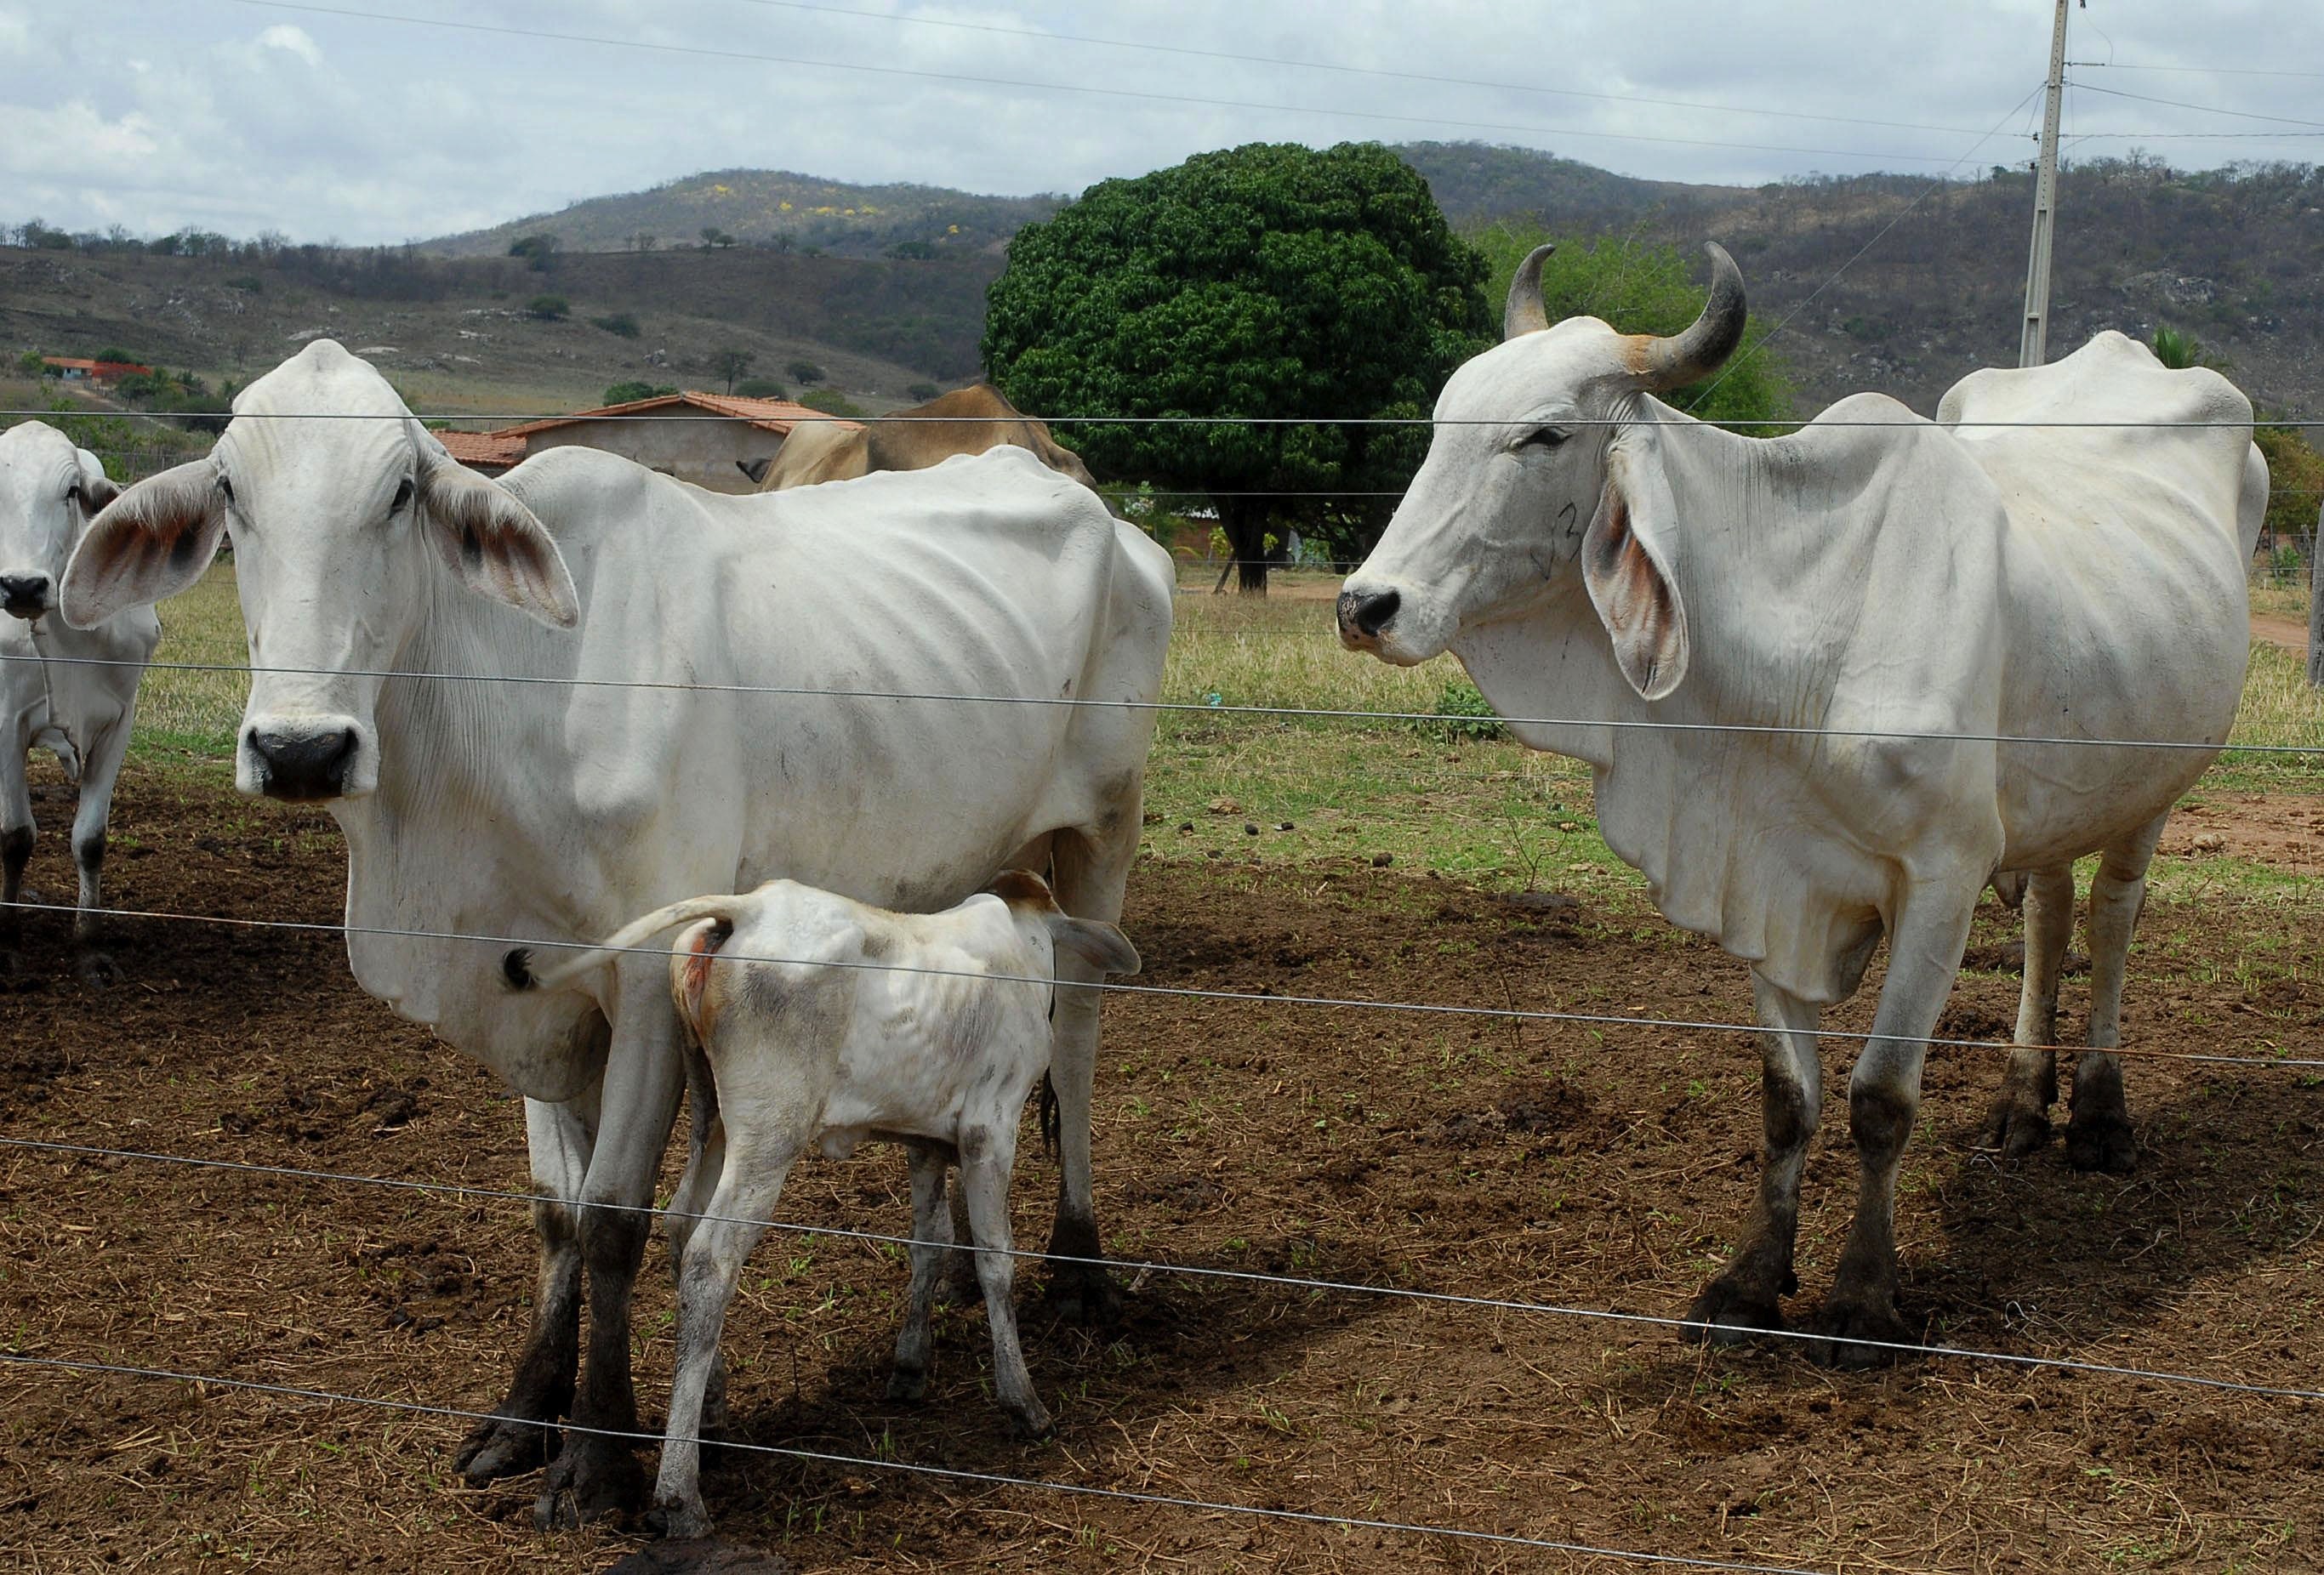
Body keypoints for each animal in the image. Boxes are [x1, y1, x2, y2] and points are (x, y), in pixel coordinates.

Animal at [0, 421, 159, 982]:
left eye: (71, 491)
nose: (22, 586)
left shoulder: (119, 723)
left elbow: (90, 839)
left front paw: (89, 943)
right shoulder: (6, 722)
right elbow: (16, 836)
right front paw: (10, 939)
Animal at [505, 868, 1142, 1539]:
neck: (1023, 943)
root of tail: (747, 909)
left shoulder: (923, 1141)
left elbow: (931, 1244)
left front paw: (910, 1367)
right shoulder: (989, 1131)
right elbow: (996, 1261)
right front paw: (1023, 1401)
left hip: (713, 1117)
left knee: (682, 1229)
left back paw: (712, 1416)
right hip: (770, 1132)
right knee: (710, 1257)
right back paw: (680, 1494)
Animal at [1336, 245, 2262, 1365]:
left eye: (1543, 434)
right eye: (1439, 418)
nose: (1365, 605)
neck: (1805, 631)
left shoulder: (1942, 878)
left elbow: (1879, 1099)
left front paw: (1860, 1299)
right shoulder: (1761, 874)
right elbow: (1787, 1099)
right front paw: (1747, 1280)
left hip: (2154, 787)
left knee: (2114, 918)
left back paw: (2095, 1116)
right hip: (2054, 791)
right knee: (2048, 910)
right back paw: (2018, 1104)